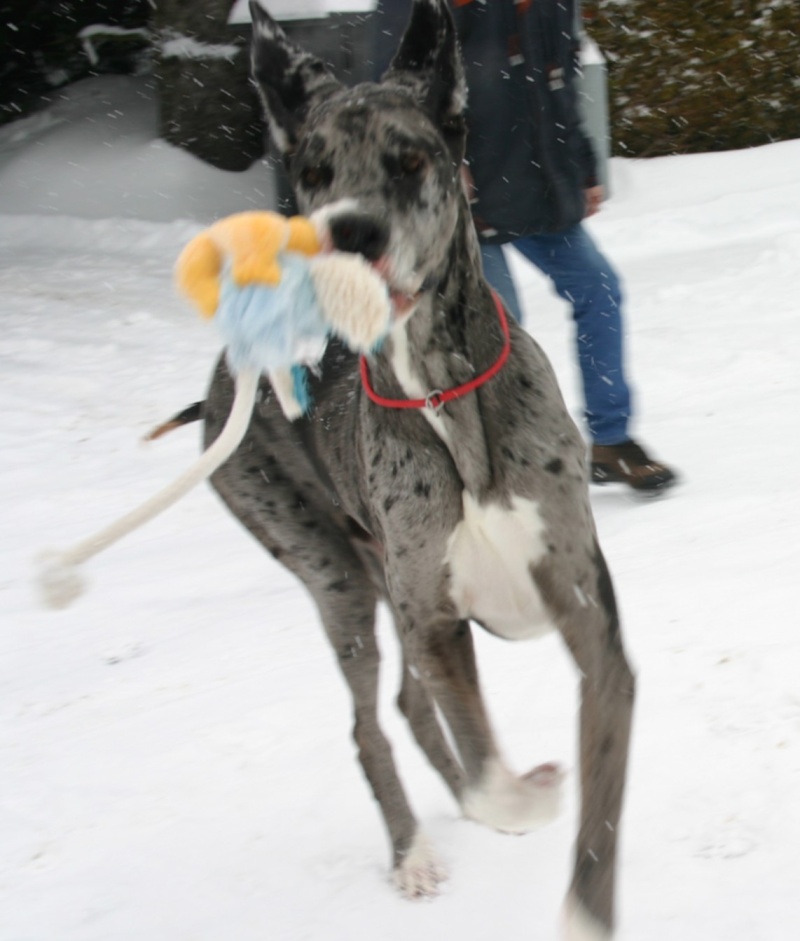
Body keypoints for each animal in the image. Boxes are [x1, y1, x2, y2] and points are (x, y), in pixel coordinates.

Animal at [202, 3, 636, 936]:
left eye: (409, 160)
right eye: (313, 171)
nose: (350, 232)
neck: (441, 389)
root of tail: (222, 378)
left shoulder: (588, 617)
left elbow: (601, 789)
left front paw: (584, 895)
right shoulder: (434, 619)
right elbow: (489, 774)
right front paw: (524, 798)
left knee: (403, 707)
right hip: (338, 583)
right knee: (372, 726)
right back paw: (413, 855)